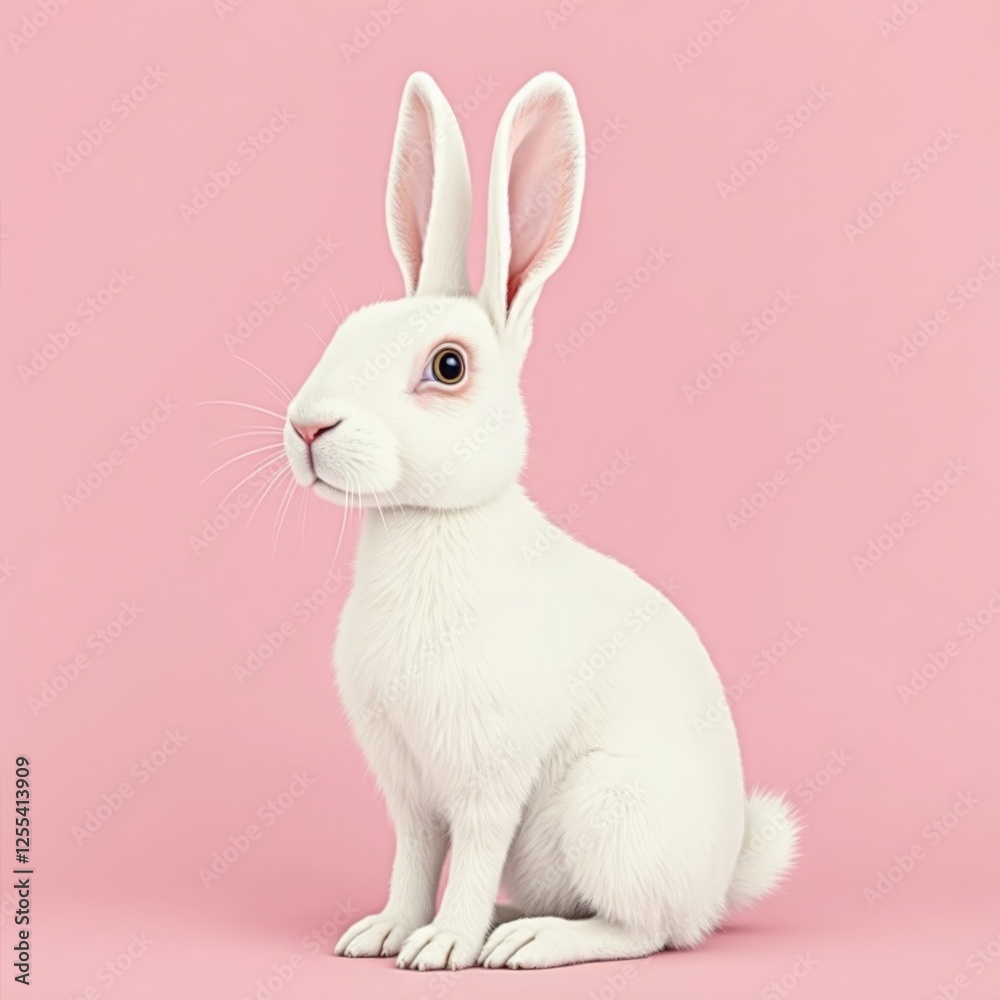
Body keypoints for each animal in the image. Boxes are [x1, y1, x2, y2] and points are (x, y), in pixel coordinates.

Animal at [282, 71, 800, 970]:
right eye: (347, 332)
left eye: (449, 366)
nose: (309, 428)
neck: (431, 524)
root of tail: (720, 881)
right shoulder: (408, 787)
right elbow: (414, 858)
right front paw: (383, 932)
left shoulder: (489, 771)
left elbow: (470, 852)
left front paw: (441, 947)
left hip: (608, 809)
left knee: (644, 930)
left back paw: (523, 940)